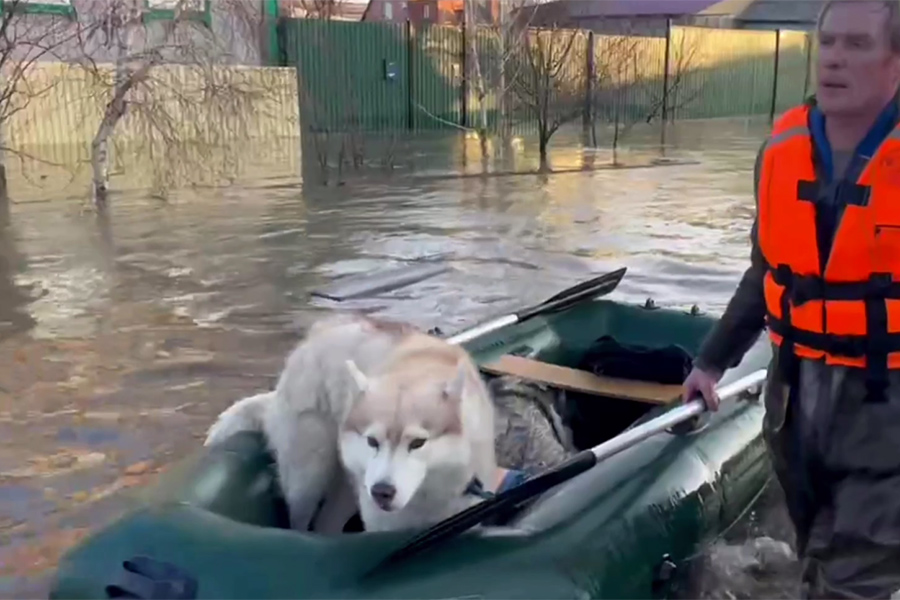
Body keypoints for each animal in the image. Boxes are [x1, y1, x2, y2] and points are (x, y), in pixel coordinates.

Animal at [206, 312, 500, 532]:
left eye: (418, 443)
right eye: (372, 441)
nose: (382, 491)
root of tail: (314, 336)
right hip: (310, 476)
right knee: (301, 519)